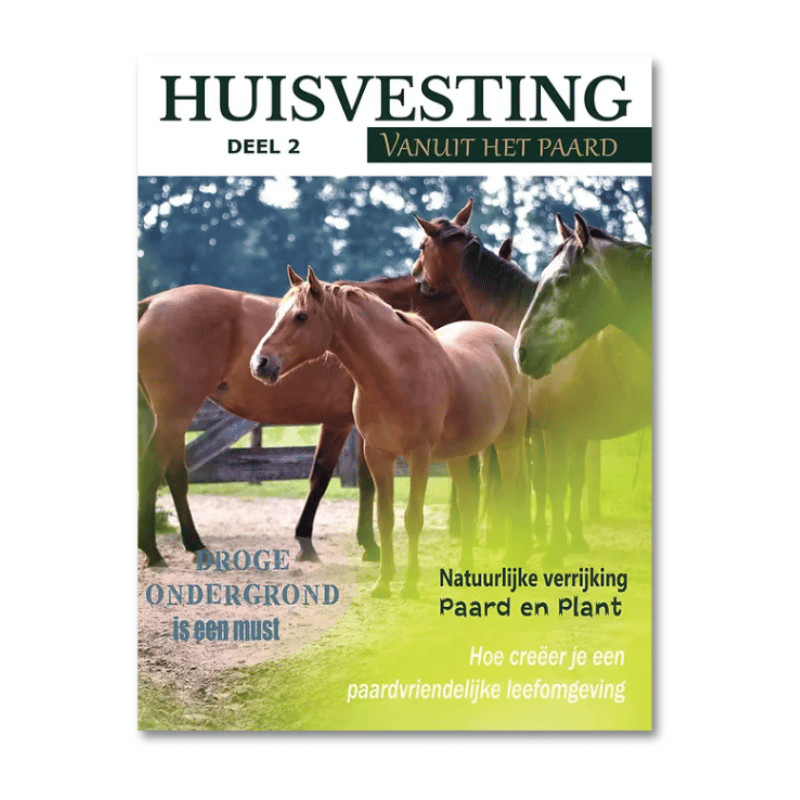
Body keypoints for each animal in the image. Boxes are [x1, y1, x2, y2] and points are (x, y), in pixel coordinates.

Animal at [138, 275, 469, 568]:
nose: (260, 363)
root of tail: (152, 302)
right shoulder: (351, 427)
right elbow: (358, 483)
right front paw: (368, 546)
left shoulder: (344, 425)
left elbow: (322, 477)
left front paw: (311, 543)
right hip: (173, 417)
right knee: (152, 469)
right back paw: (153, 551)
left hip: (172, 419)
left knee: (176, 475)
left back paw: (194, 544)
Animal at [251, 267, 530, 598]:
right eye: (278, 313)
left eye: (301, 316)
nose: (260, 363)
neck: (396, 373)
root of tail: (503, 340)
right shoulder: (378, 455)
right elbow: (385, 518)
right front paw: (383, 582)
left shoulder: (419, 456)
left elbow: (412, 518)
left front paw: (409, 583)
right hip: (458, 455)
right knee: (468, 501)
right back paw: (465, 566)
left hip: (508, 442)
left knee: (512, 494)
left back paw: (512, 558)